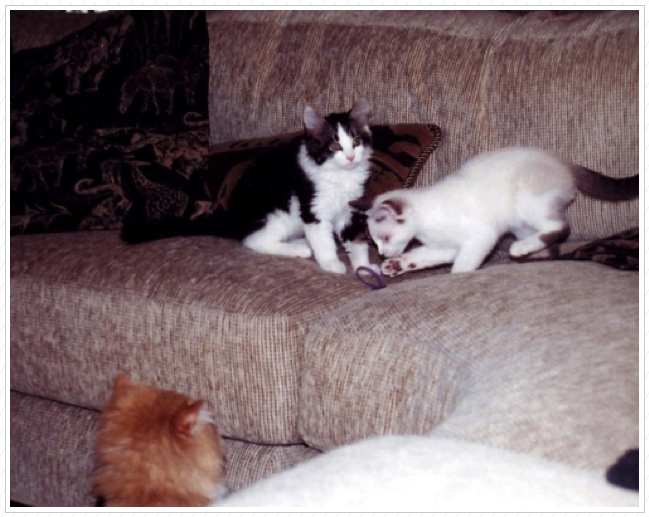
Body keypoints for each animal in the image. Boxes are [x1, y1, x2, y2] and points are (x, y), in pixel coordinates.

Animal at [350, 147, 636, 276]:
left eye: (384, 238)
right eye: (374, 241)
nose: (382, 253)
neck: (425, 222)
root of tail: (564, 163)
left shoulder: (479, 237)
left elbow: (462, 265)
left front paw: (457, 276)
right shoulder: (446, 246)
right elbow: (422, 256)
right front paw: (397, 265)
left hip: (527, 203)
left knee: (559, 228)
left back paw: (519, 250)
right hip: (521, 223)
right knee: (553, 244)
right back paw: (531, 254)